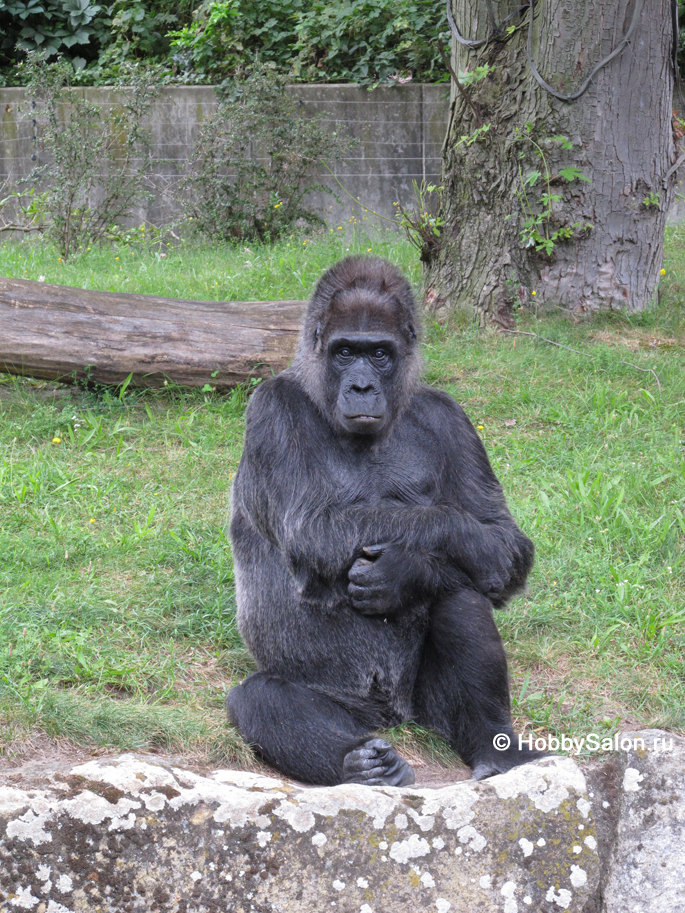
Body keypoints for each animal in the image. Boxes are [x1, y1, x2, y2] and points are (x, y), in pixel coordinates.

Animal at [226, 256, 540, 784]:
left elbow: (502, 540)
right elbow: (313, 528)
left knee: (460, 591)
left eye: (378, 354)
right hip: (352, 709)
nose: (361, 387)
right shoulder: (272, 409)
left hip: (423, 712)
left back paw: (495, 747)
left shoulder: (451, 416)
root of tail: (391, 718)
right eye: (344, 351)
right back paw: (361, 764)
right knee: (260, 698)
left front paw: (405, 571)